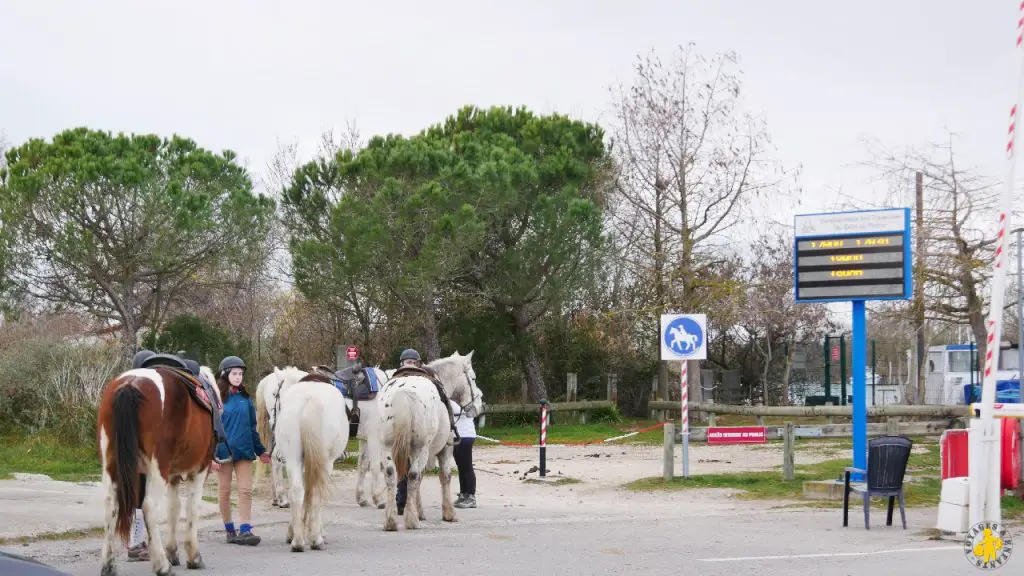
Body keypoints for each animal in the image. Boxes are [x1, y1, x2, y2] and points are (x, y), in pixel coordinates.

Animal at [96, 364, 218, 569]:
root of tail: (131, 383)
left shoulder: (173, 476)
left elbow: (174, 508)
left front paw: (173, 552)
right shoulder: (201, 469)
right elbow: (192, 507)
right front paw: (193, 556)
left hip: (112, 465)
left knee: (110, 504)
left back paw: (108, 565)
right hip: (158, 468)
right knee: (149, 506)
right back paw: (162, 565)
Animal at [274, 368, 354, 549]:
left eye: (276, 395)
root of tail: (309, 400)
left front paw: (294, 531)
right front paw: (316, 531)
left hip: (293, 459)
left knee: (296, 491)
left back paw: (297, 541)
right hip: (326, 462)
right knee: (317, 490)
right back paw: (316, 539)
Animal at [378, 344, 481, 528]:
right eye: (473, 378)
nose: (477, 406)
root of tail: (403, 394)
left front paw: (417, 510)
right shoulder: (445, 449)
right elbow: (444, 476)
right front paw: (448, 513)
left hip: (387, 446)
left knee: (391, 474)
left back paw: (390, 520)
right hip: (421, 448)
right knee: (413, 475)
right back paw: (411, 520)